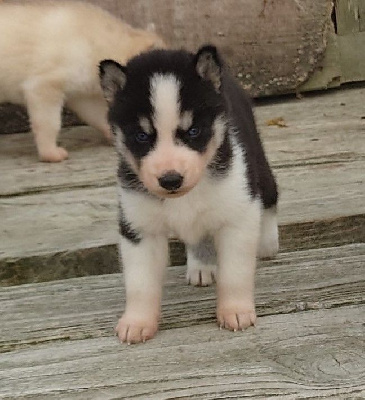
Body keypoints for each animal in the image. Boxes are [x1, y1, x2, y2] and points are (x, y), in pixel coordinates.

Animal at [98, 44, 278, 344]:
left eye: (193, 131)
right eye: (142, 136)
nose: (170, 179)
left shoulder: (237, 214)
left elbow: (235, 273)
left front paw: (236, 310)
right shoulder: (138, 227)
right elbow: (140, 283)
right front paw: (137, 321)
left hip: (257, 164)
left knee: (270, 196)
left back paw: (267, 242)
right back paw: (201, 265)